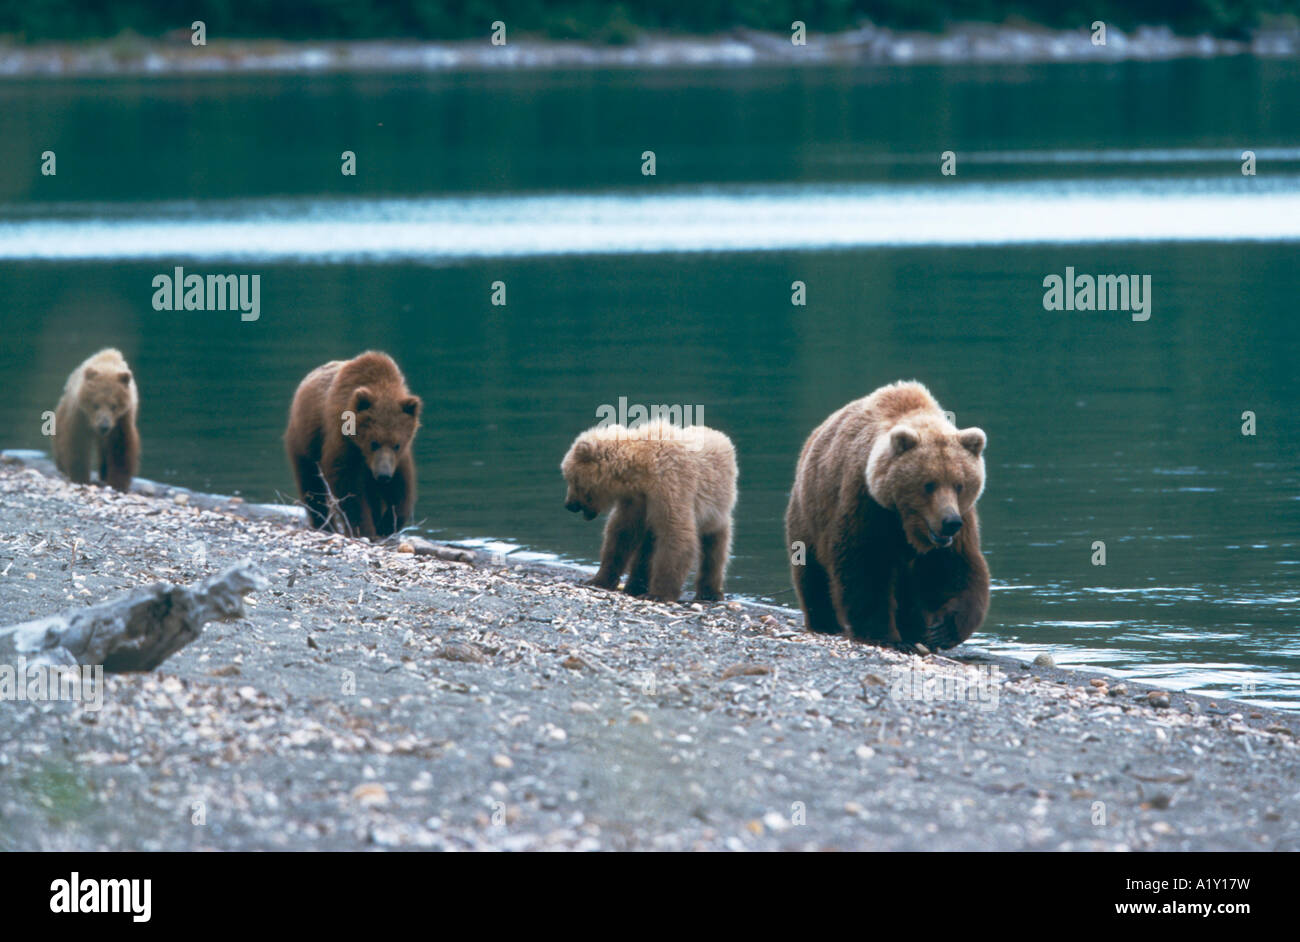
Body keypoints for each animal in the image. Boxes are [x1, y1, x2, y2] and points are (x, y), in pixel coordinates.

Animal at [785, 379, 987, 649]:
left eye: (959, 484)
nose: (949, 522)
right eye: (929, 484)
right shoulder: (866, 502)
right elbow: (865, 566)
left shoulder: (960, 521)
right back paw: (825, 622)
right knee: (812, 569)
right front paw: (881, 633)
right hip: (809, 512)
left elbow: (957, 566)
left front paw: (941, 628)